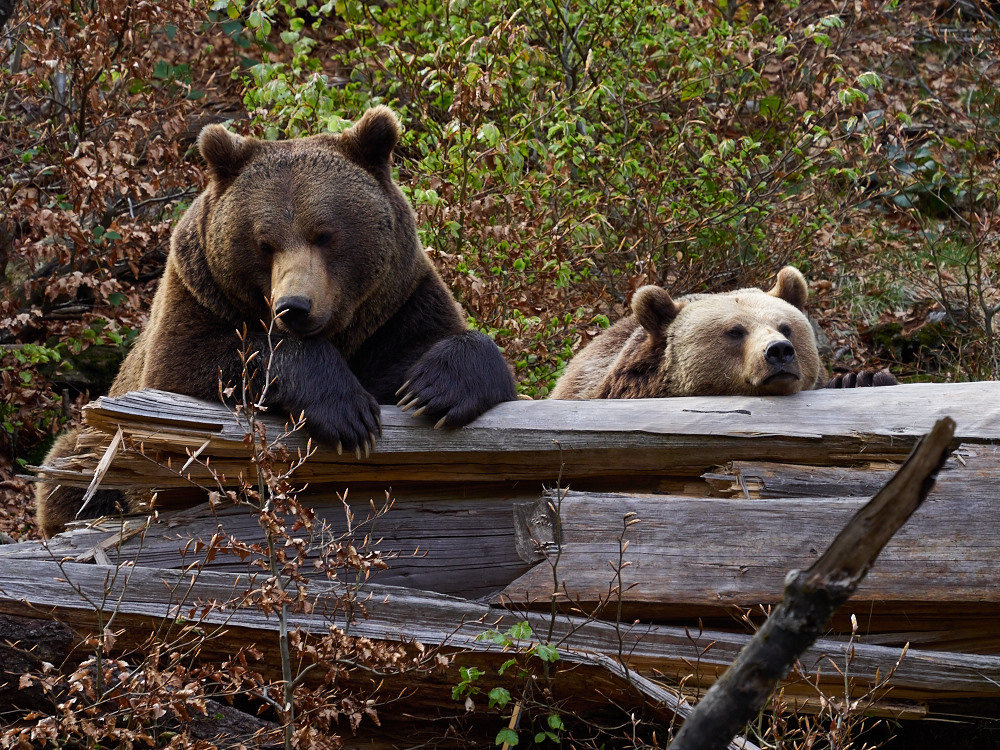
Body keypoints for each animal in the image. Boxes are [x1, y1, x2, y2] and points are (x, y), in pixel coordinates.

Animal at [33, 107, 516, 540]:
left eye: (325, 234)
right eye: (264, 243)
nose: (293, 306)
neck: (340, 330)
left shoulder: (397, 307)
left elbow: (444, 350)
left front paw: (432, 390)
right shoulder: (197, 295)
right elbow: (188, 370)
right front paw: (347, 413)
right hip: (89, 446)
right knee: (69, 473)